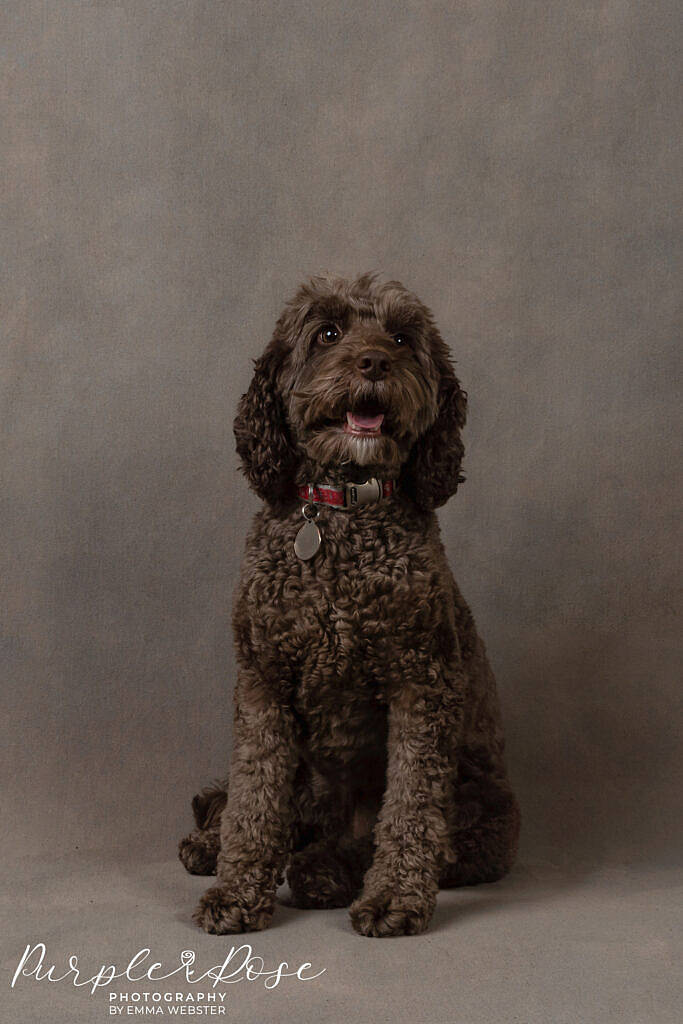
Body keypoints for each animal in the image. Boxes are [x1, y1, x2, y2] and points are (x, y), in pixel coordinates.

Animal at [179, 270, 520, 937]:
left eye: (401, 337)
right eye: (328, 333)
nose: (374, 362)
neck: (341, 513)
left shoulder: (423, 684)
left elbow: (410, 808)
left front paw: (393, 900)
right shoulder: (263, 682)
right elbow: (254, 795)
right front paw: (236, 890)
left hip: (477, 801)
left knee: (412, 839)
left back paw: (326, 871)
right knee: (270, 811)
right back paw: (215, 844)